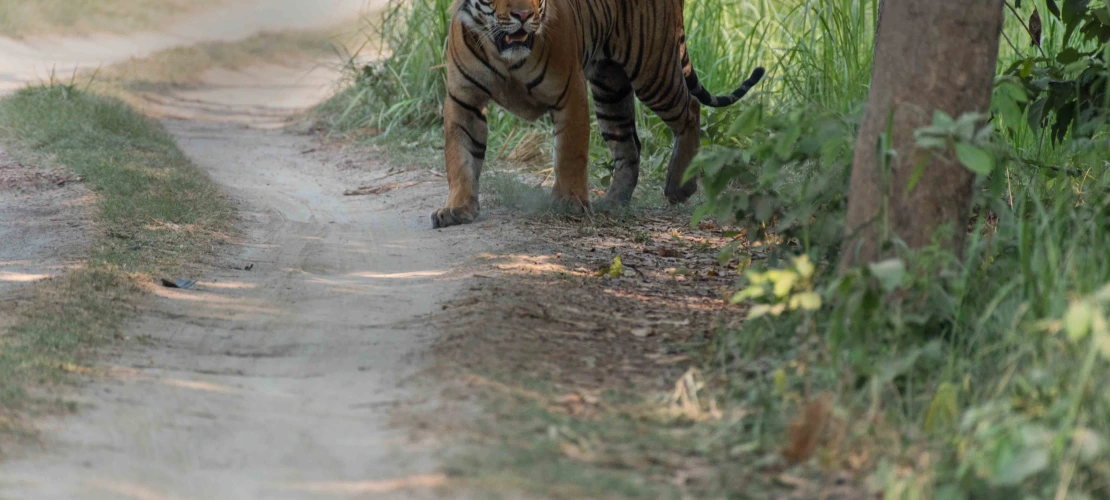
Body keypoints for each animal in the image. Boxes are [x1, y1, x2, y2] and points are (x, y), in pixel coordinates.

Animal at [430, 0, 763, 228]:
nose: (523, 16)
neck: (505, 55)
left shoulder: (570, 91)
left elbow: (570, 154)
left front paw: (569, 202)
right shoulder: (463, 100)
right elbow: (460, 159)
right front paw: (457, 208)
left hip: (652, 68)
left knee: (691, 109)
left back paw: (679, 186)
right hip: (610, 87)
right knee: (630, 146)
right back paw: (613, 202)